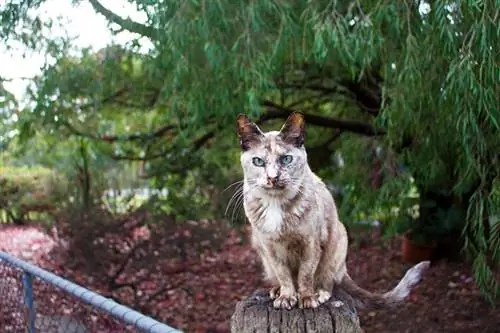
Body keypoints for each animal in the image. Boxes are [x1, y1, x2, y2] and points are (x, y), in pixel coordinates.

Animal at [236, 111, 428, 308]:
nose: (272, 178)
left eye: (286, 159)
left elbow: (306, 274)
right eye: (258, 161)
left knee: (327, 280)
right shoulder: (270, 247)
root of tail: (344, 269)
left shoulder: (311, 243)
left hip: (338, 239)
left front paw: (307, 299)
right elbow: (284, 275)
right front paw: (286, 297)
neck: (276, 204)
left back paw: (320, 293)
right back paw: (277, 291)